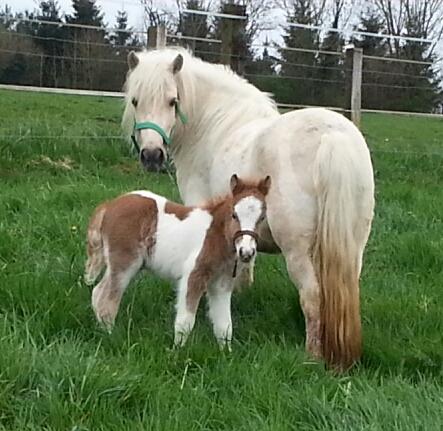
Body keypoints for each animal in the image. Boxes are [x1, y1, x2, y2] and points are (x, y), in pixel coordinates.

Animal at [85, 174, 271, 349]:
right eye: (234, 215)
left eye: (262, 218)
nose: (246, 252)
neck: (215, 235)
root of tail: (109, 205)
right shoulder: (194, 275)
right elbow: (186, 321)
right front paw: (177, 351)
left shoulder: (222, 284)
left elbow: (224, 326)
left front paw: (226, 354)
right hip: (124, 263)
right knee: (106, 301)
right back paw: (111, 337)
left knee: (97, 293)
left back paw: (103, 332)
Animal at [121, 48, 375, 370]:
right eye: (135, 101)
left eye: (172, 101)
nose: (152, 156)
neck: (213, 125)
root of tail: (332, 137)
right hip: (352, 247)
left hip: (298, 251)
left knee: (312, 296)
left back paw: (312, 356)